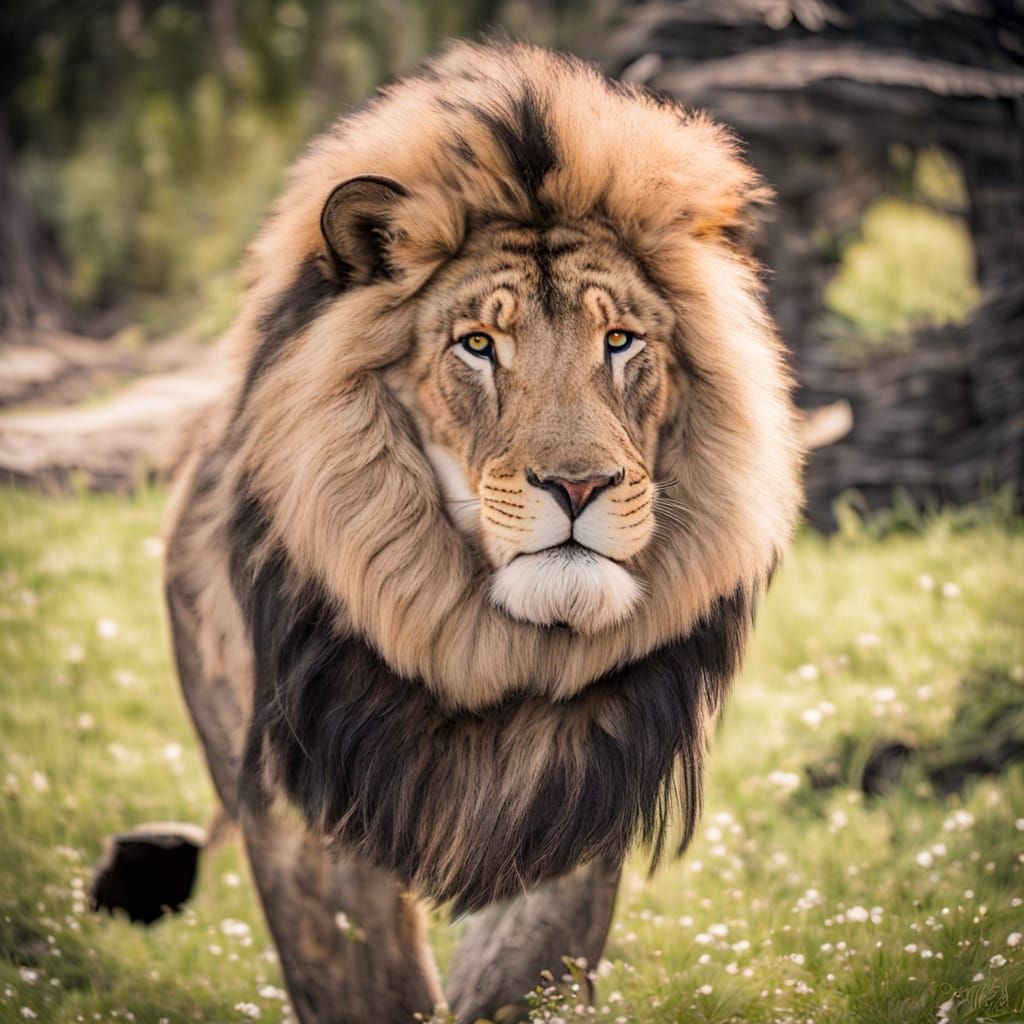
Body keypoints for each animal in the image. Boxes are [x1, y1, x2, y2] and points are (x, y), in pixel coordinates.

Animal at [93, 40, 801, 1024]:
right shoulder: (309, 811)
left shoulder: (586, 788)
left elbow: (530, 973)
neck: (489, 651)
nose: (578, 485)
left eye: (620, 341)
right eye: (477, 345)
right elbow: (367, 985)